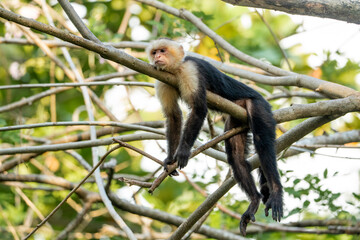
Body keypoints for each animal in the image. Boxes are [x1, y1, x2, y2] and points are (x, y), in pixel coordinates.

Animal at [146, 38, 284, 236]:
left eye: (163, 51)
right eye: (154, 52)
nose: (157, 57)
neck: (175, 69)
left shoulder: (190, 71)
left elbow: (198, 109)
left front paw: (183, 151)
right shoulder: (162, 79)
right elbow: (173, 117)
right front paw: (170, 159)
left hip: (259, 106)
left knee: (263, 145)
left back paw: (275, 191)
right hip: (237, 118)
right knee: (235, 156)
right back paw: (254, 200)